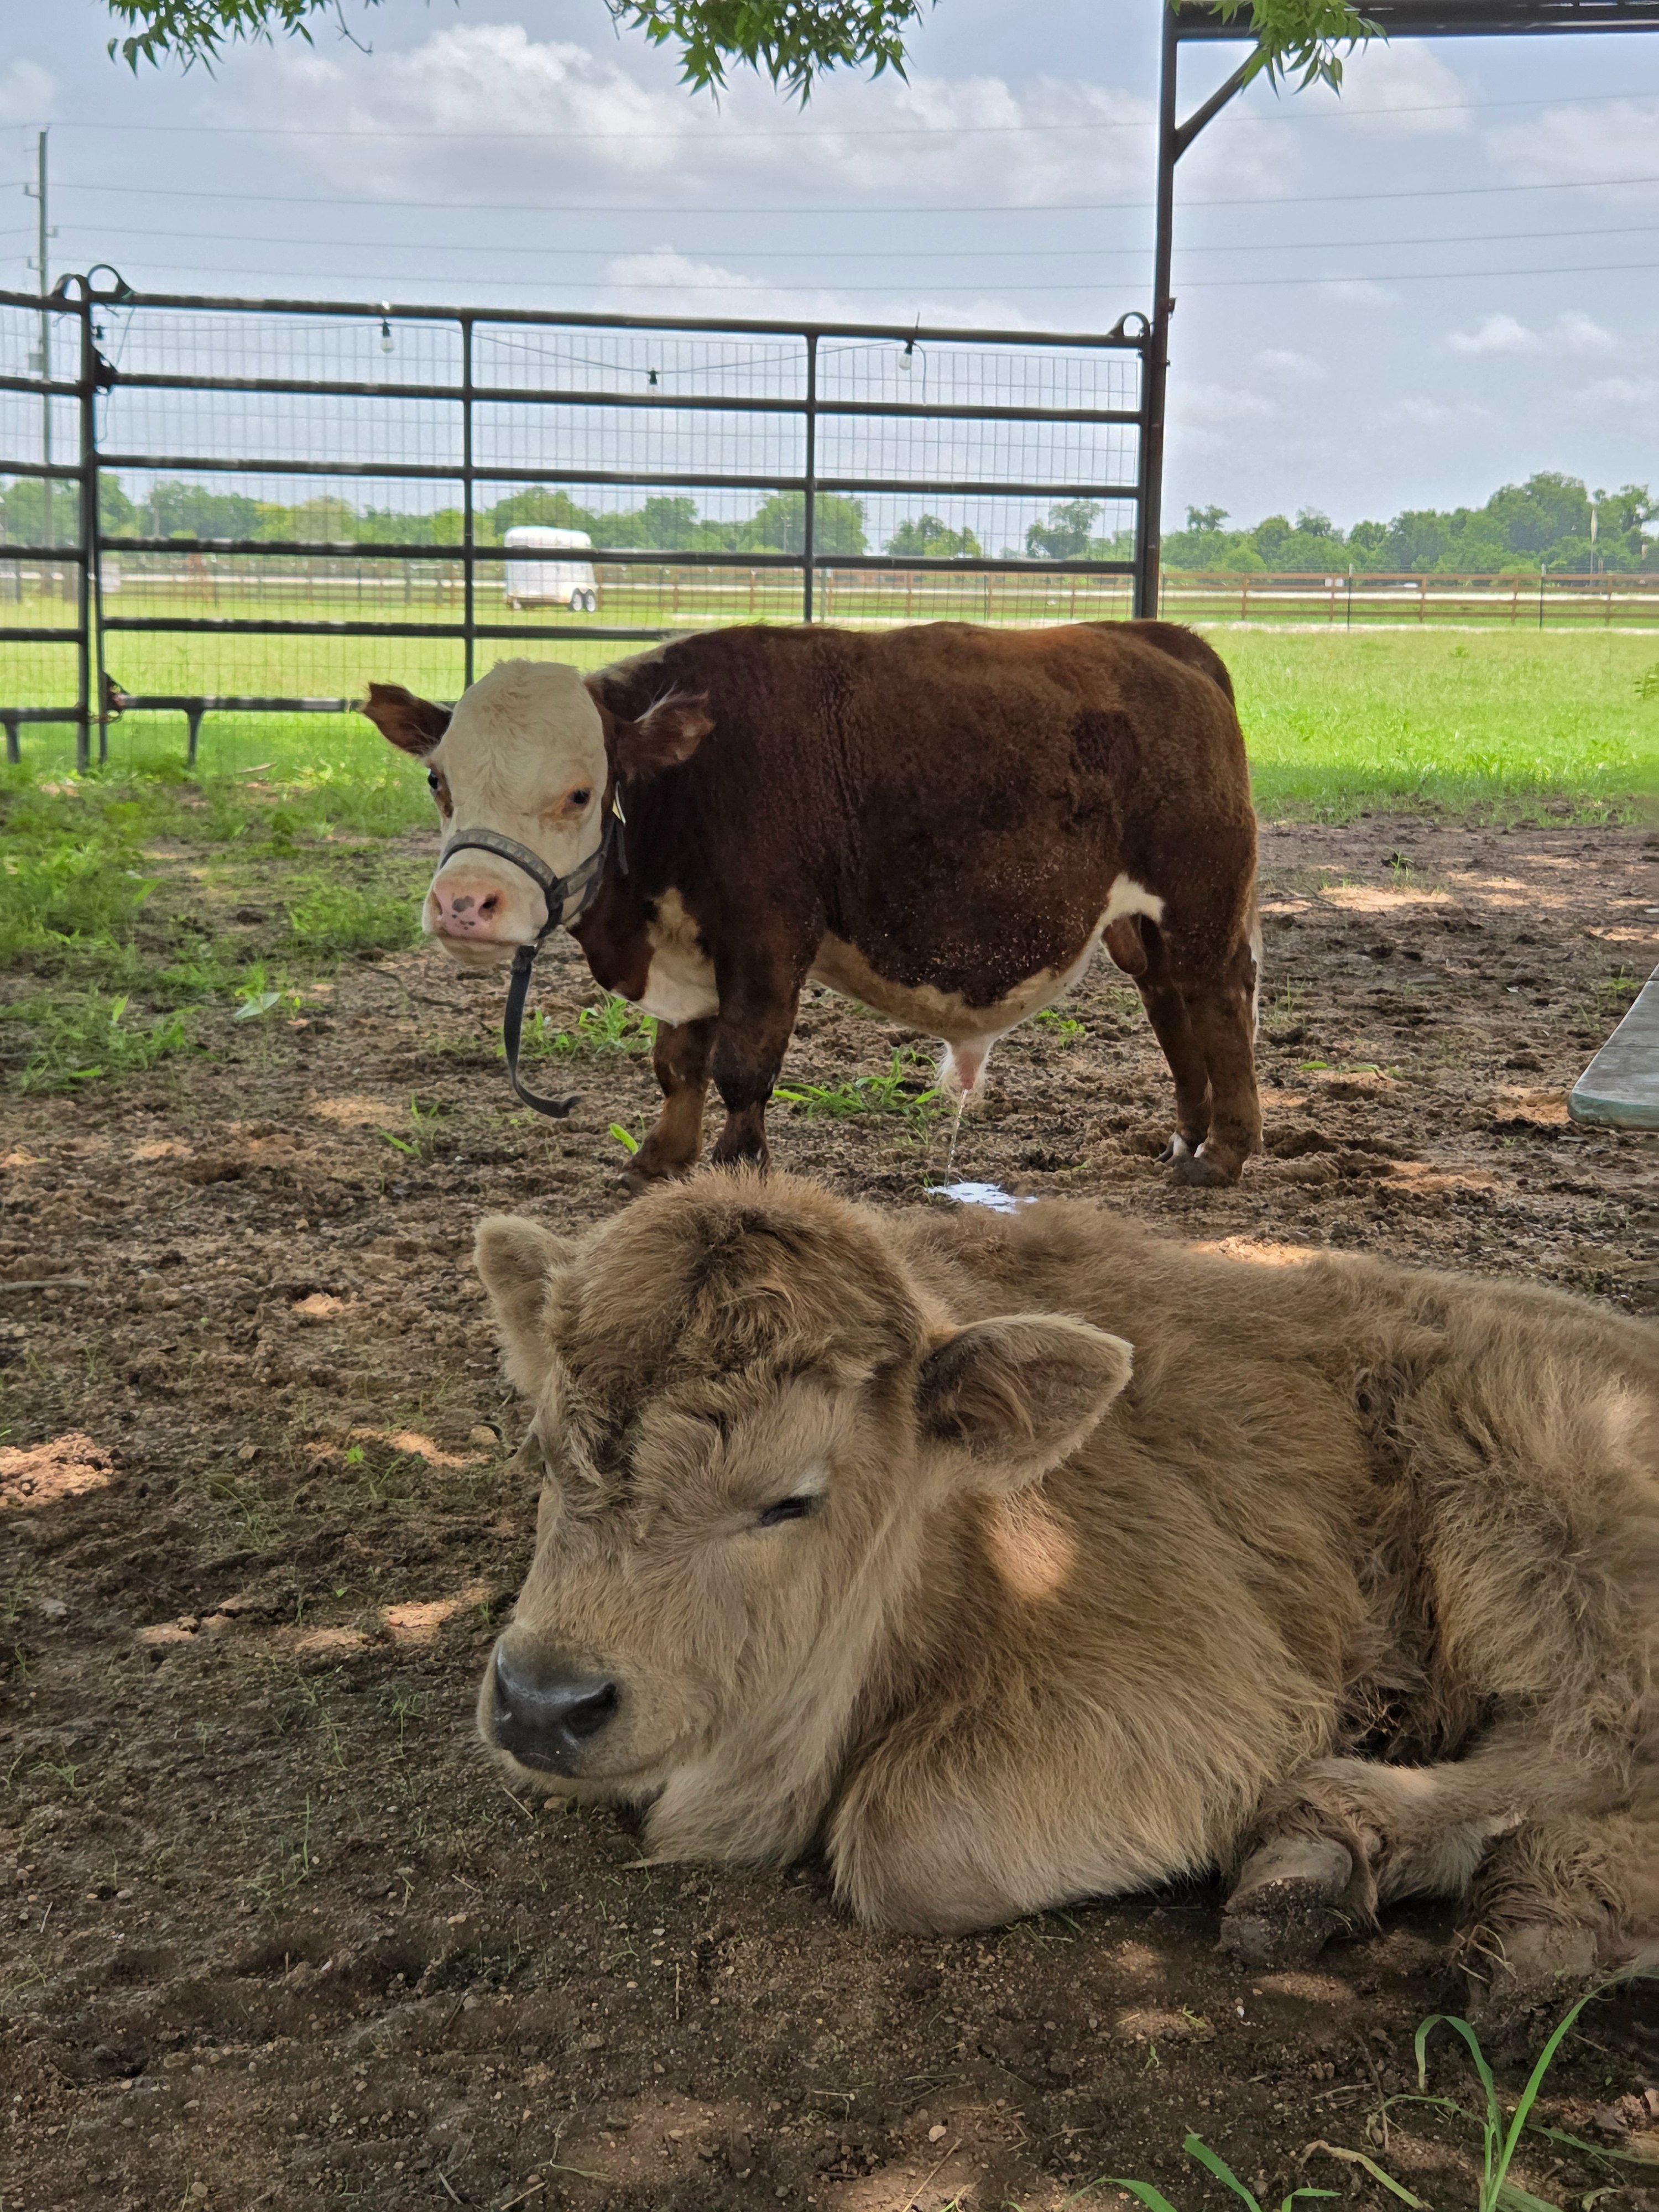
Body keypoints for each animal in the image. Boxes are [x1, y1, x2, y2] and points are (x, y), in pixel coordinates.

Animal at [362, 620, 1262, 1187]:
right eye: (438, 780)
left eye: (580, 792)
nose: (466, 903)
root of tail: (1161, 640)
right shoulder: (693, 946)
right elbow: (678, 1061)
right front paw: (659, 1159)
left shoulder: (766, 939)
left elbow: (742, 1066)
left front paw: (735, 1168)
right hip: (1141, 928)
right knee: (1171, 1005)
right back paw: (1186, 1137)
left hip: (1199, 901)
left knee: (1218, 1005)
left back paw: (1226, 1155)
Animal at [471, 1173, 1659, 2024]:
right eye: (543, 1449)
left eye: (790, 1499)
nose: (543, 1703)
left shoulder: (1213, 1687)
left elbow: (902, 1845)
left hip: (1533, 1506)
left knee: (1596, 1737)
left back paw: (1388, 1863)